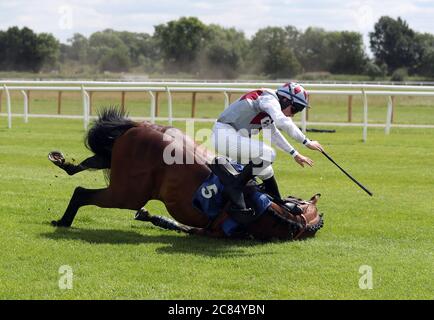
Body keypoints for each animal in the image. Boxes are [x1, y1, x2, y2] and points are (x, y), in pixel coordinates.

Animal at [49, 107, 324, 240]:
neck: (274, 212)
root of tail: (140, 126)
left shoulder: (205, 230)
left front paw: (148, 216)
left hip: (126, 182)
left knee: (94, 165)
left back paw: (64, 164)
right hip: (127, 193)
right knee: (82, 192)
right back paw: (62, 220)